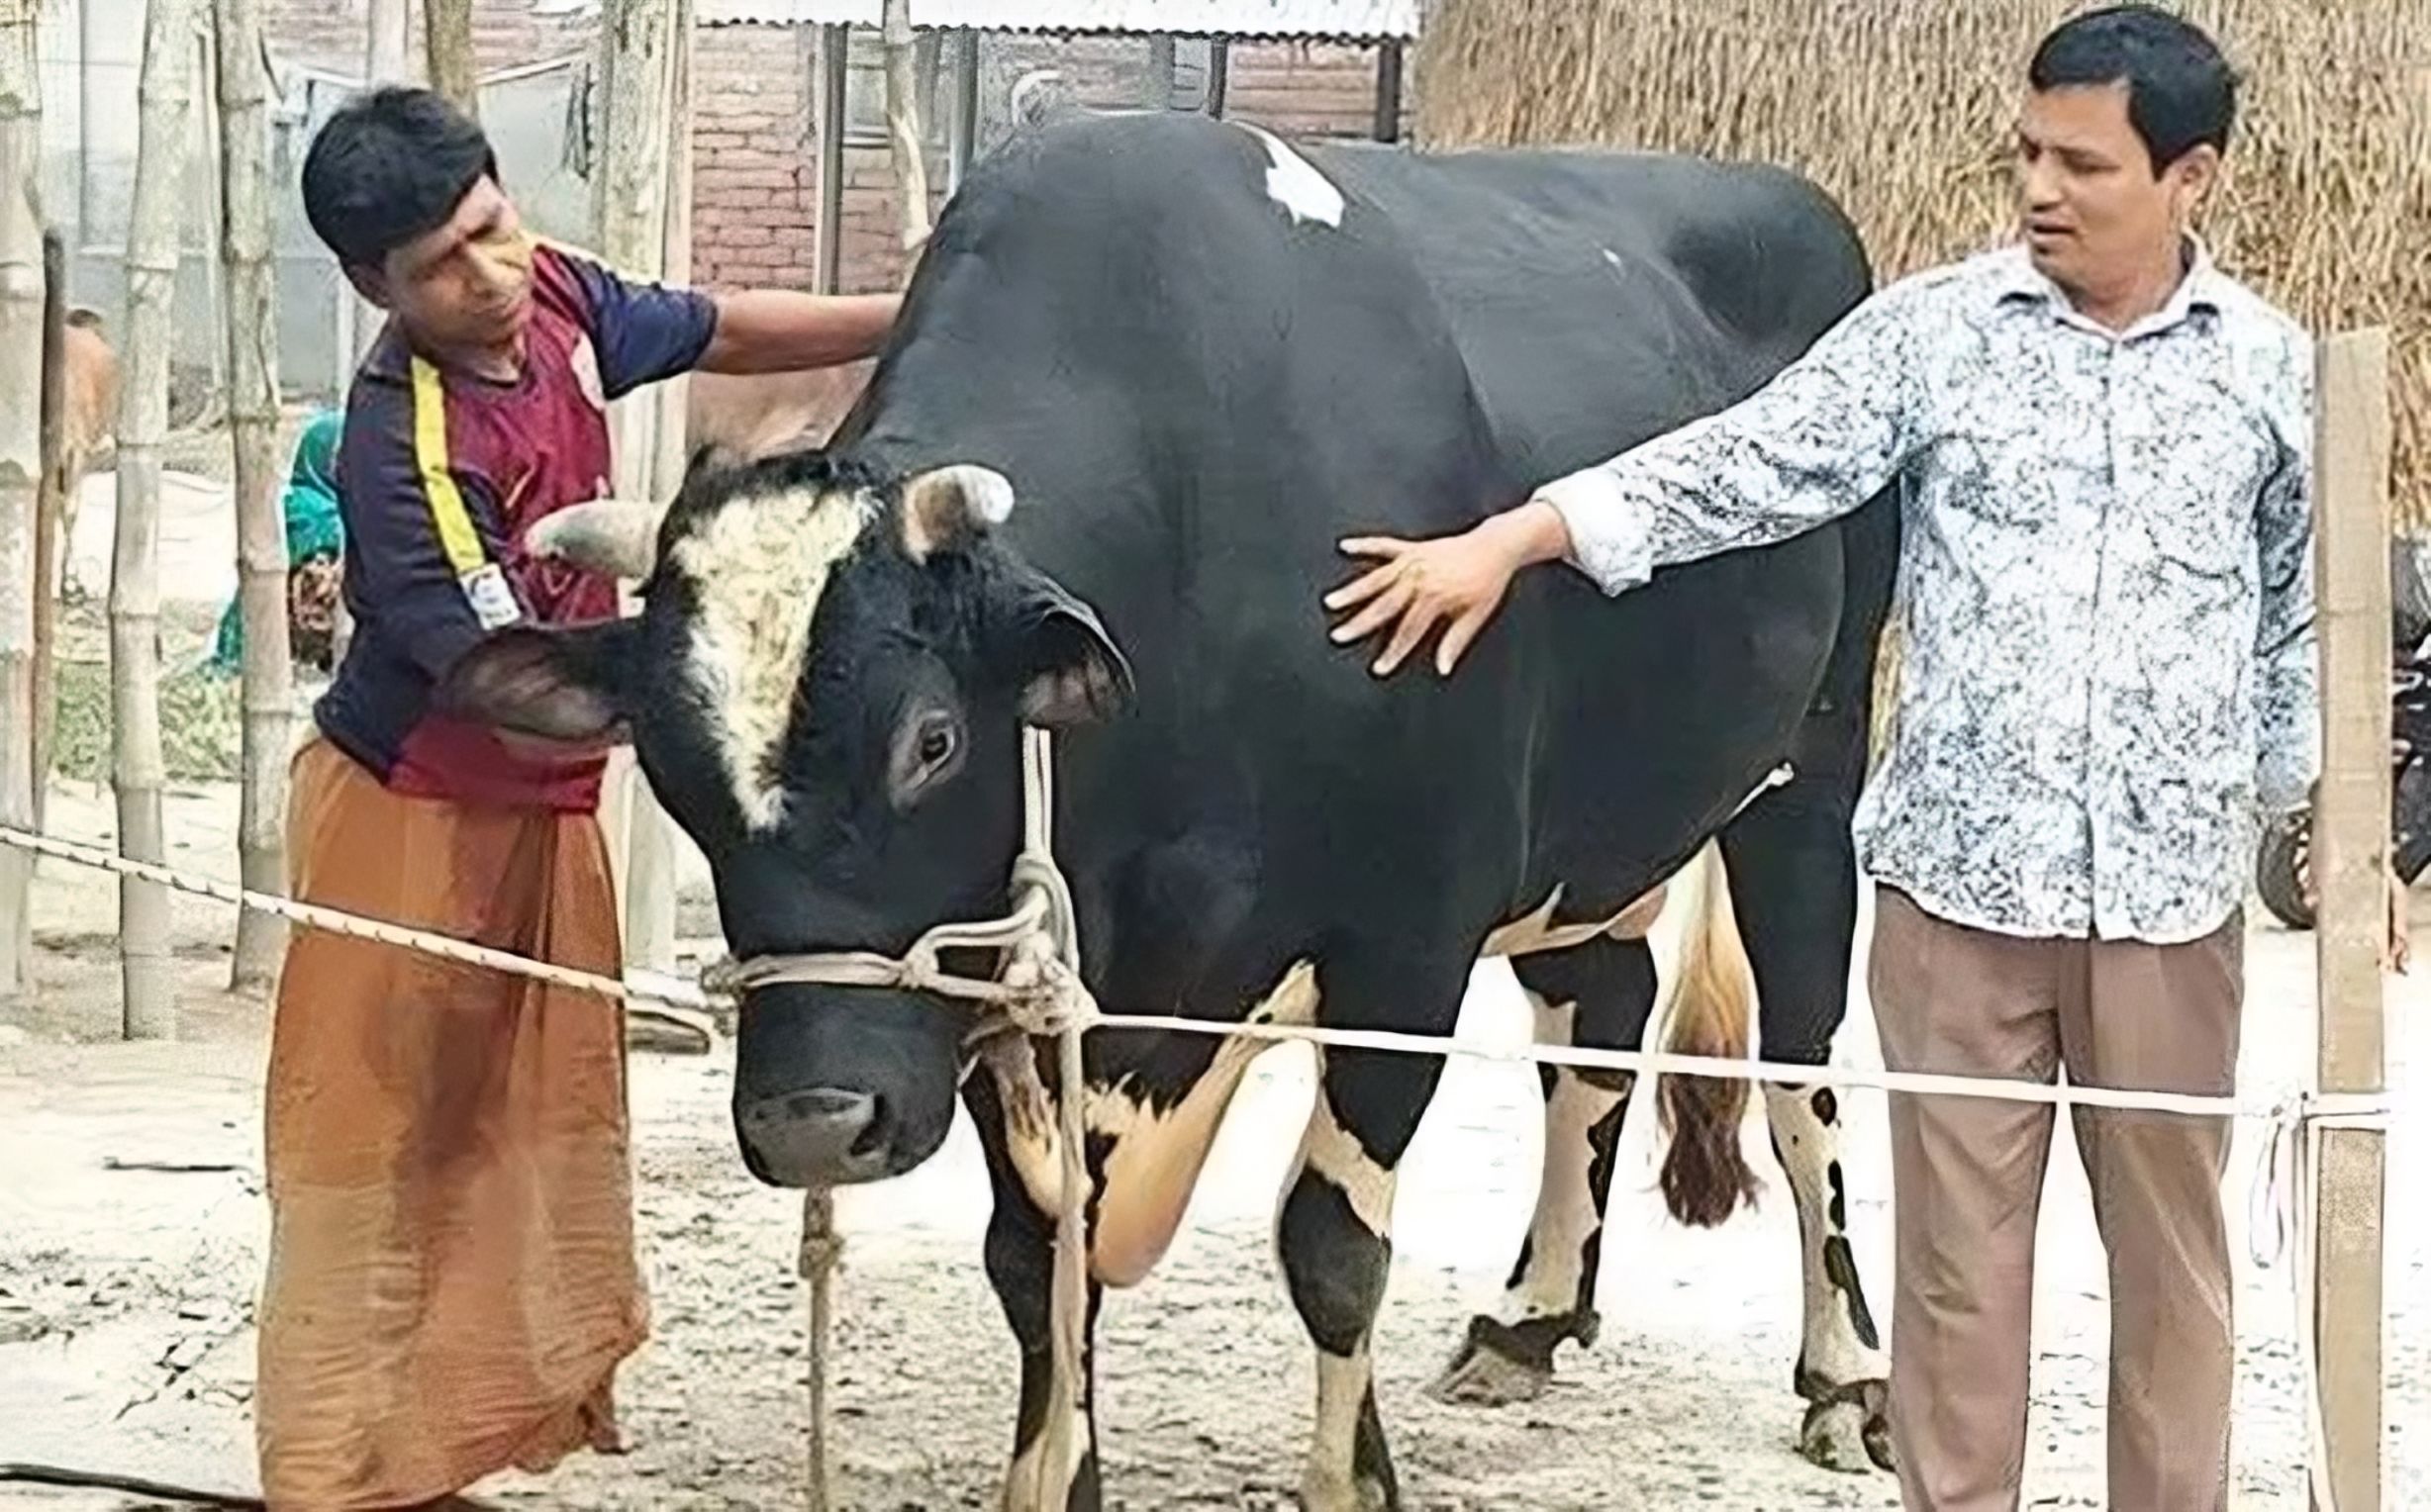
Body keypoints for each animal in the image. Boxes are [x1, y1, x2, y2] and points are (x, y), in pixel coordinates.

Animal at [446, 112, 1905, 1507]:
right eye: (667, 763)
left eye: (933, 739)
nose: (815, 1120)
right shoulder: (1021, 982)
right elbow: (1039, 1258)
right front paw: (1051, 1476)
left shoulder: (1404, 945)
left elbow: (1330, 1243)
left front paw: (1352, 1481)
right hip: (1592, 832)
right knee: (1600, 1014)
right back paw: (1532, 1315)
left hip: (1809, 778)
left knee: (1802, 1068)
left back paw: (1846, 1377)